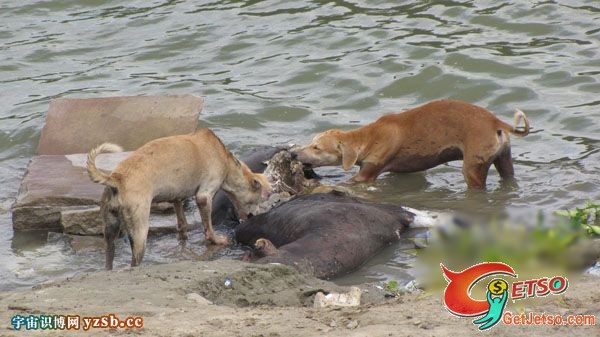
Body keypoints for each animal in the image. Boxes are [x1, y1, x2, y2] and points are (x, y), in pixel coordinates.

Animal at [85, 127, 270, 270]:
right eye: (259, 200)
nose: (254, 216)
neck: (225, 160)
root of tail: (116, 178)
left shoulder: (177, 198)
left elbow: (182, 223)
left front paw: (183, 237)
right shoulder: (204, 196)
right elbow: (208, 227)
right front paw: (217, 240)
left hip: (110, 226)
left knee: (109, 253)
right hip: (140, 229)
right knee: (135, 260)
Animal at [296, 100, 528, 189]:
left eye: (316, 147)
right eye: (311, 142)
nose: (295, 155)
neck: (367, 137)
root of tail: (496, 122)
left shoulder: (367, 174)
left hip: (473, 167)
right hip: (503, 159)